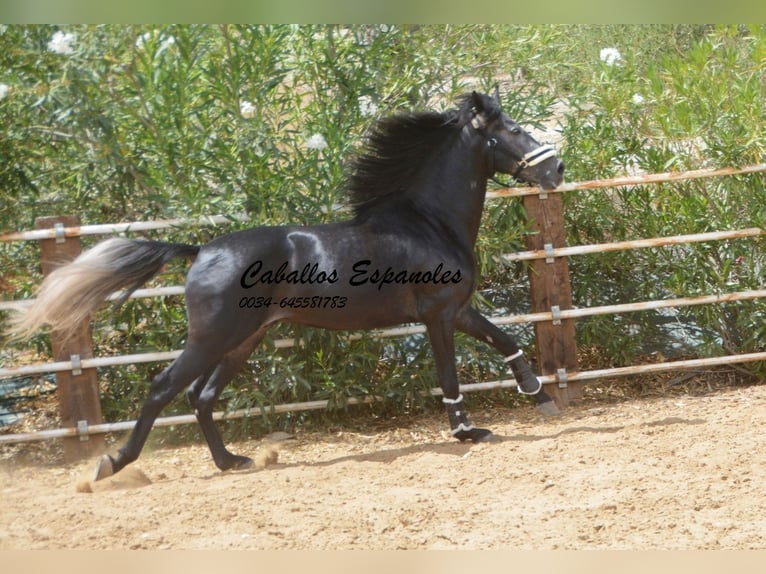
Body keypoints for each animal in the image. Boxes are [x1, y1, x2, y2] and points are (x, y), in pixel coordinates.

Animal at [9, 89, 568, 482]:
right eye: (513, 129)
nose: (558, 168)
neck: (428, 223)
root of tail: (201, 251)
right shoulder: (437, 315)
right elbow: (450, 374)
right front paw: (467, 431)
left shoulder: (458, 309)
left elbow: (506, 338)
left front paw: (540, 395)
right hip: (214, 337)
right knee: (164, 388)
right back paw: (114, 464)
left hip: (244, 339)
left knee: (200, 395)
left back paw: (232, 461)